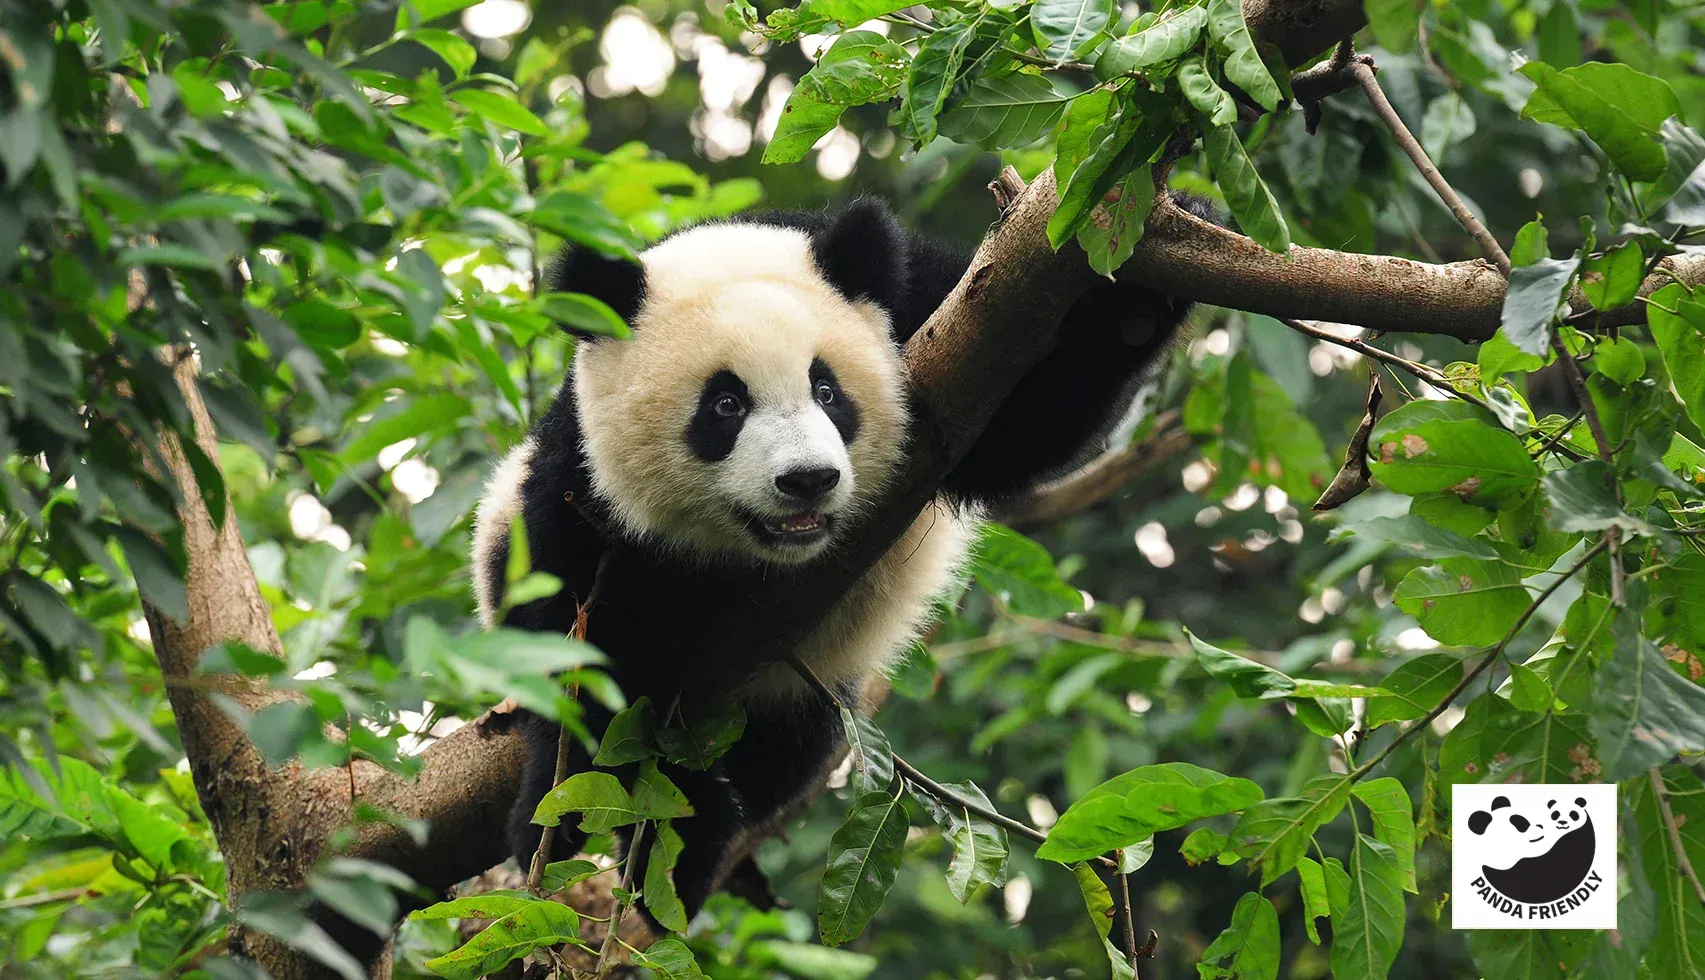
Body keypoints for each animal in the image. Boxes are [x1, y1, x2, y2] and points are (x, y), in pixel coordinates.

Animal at [470, 193, 1213, 927]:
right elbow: (584, 649)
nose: (807, 480)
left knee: (783, 754)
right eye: (725, 404)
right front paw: (576, 812)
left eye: (827, 391)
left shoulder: (933, 319)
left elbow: (1028, 419)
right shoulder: (580, 482)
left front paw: (1157, 260)